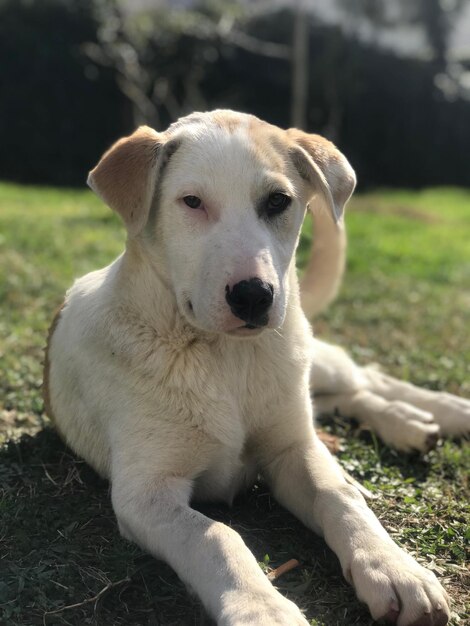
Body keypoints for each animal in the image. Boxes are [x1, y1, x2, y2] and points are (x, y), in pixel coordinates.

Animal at [43, 111, 466, 624]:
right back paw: (411, 425)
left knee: (363, 379)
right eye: (191, 202)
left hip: (308, 358)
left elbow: (339, 497)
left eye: (278, 201)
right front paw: (262, 609)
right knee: (346, 397)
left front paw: (395, 568)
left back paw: (440, 413)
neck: (227, 359)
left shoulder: (292, 448)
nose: (253, 296)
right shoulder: (145, 494)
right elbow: (217, 538)